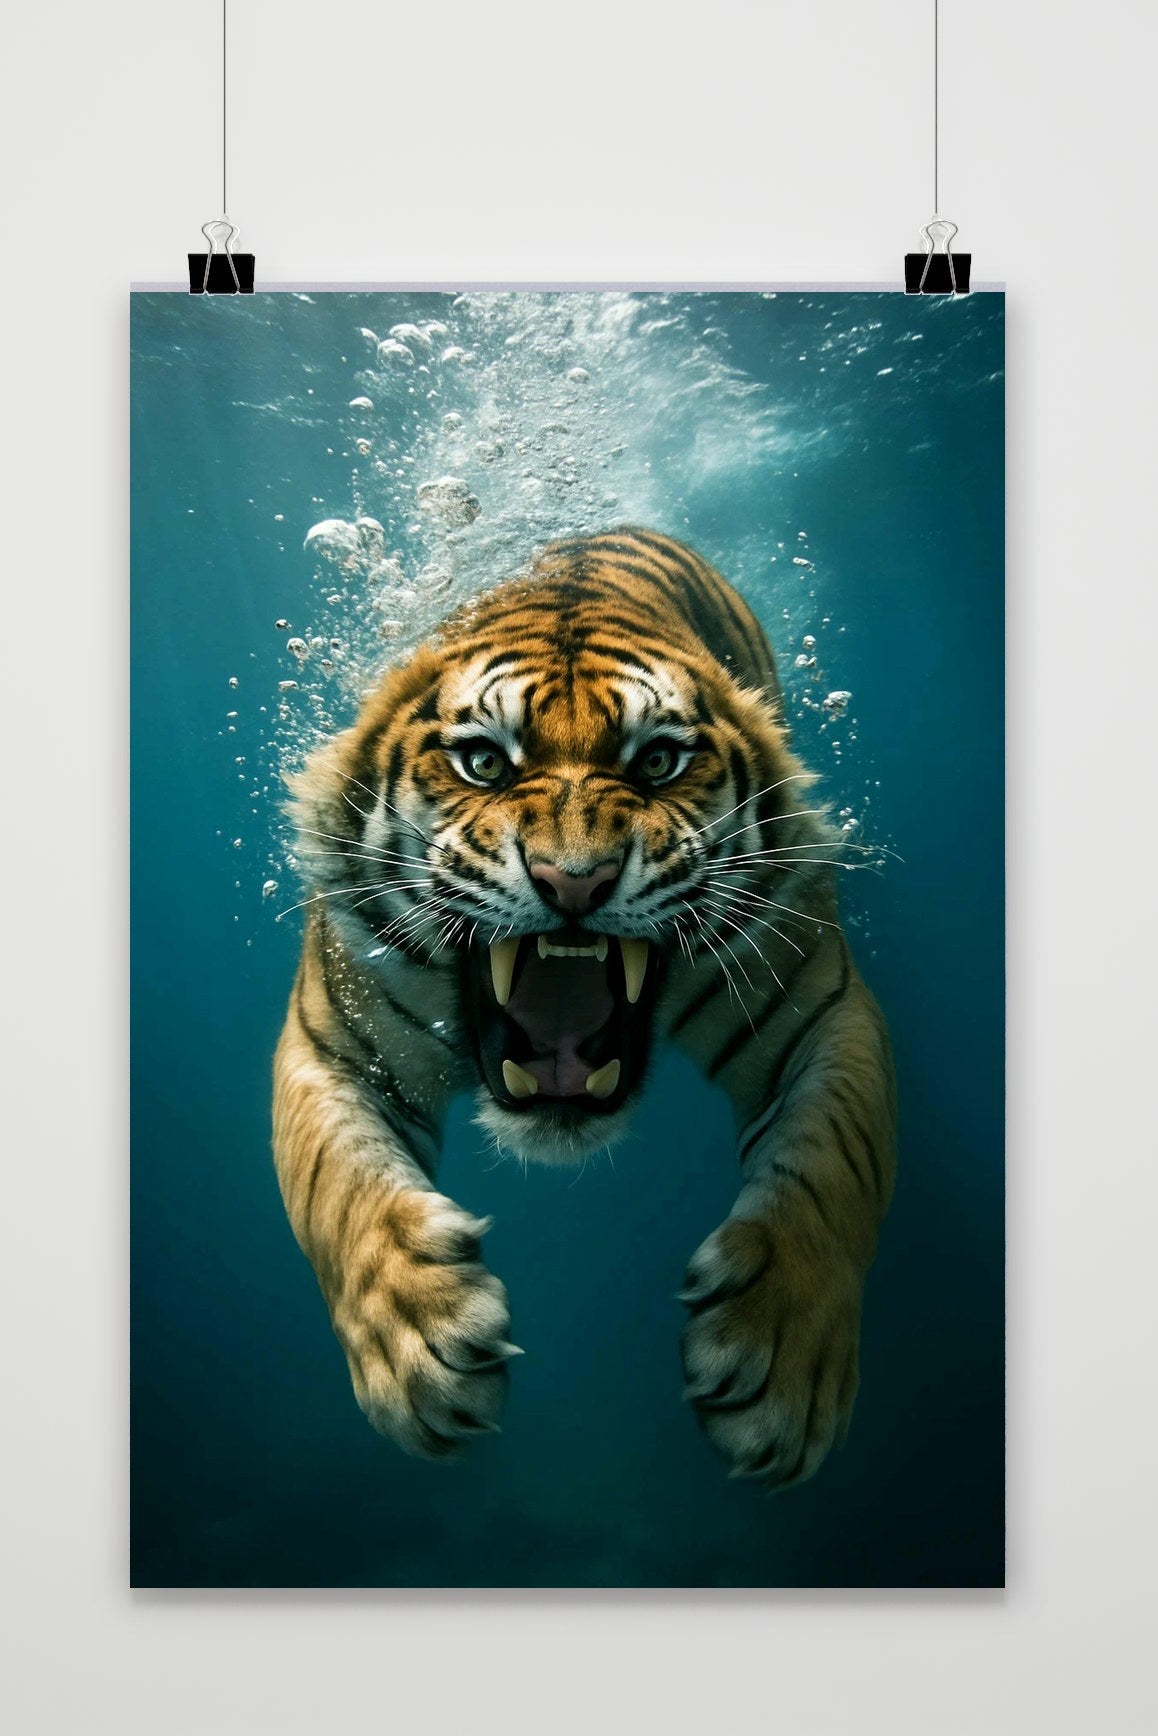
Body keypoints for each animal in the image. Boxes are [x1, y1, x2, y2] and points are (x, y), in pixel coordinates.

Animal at [273, 526, 896, 1487]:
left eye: (658, 762)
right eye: (485, 762)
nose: (574, 880)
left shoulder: (824, 1011)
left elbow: (834, 1168)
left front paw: (780, 1362)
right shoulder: (331, 1043)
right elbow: (335, 1187)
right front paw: (420, 1344)